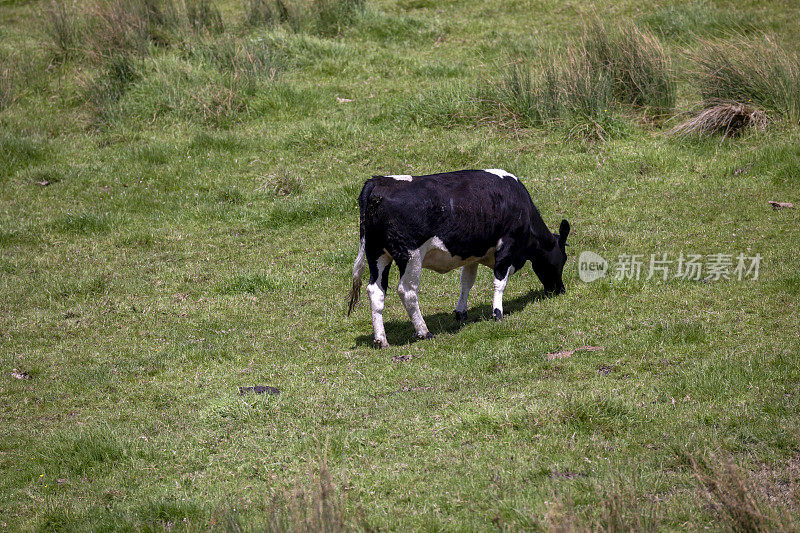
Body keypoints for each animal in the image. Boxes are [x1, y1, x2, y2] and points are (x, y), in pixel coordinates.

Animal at [346, 168, 568, 348]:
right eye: (563, 260)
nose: (560, 290)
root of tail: (378, 182)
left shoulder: (472, 254)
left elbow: (467, 281)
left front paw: (461, 312)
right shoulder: (507, 247)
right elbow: (499, 282)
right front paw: (497, 313)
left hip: (377, 254)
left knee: (375, 291)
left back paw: (381, 340)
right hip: (411, 256)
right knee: (407, 291)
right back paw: (424, 331)